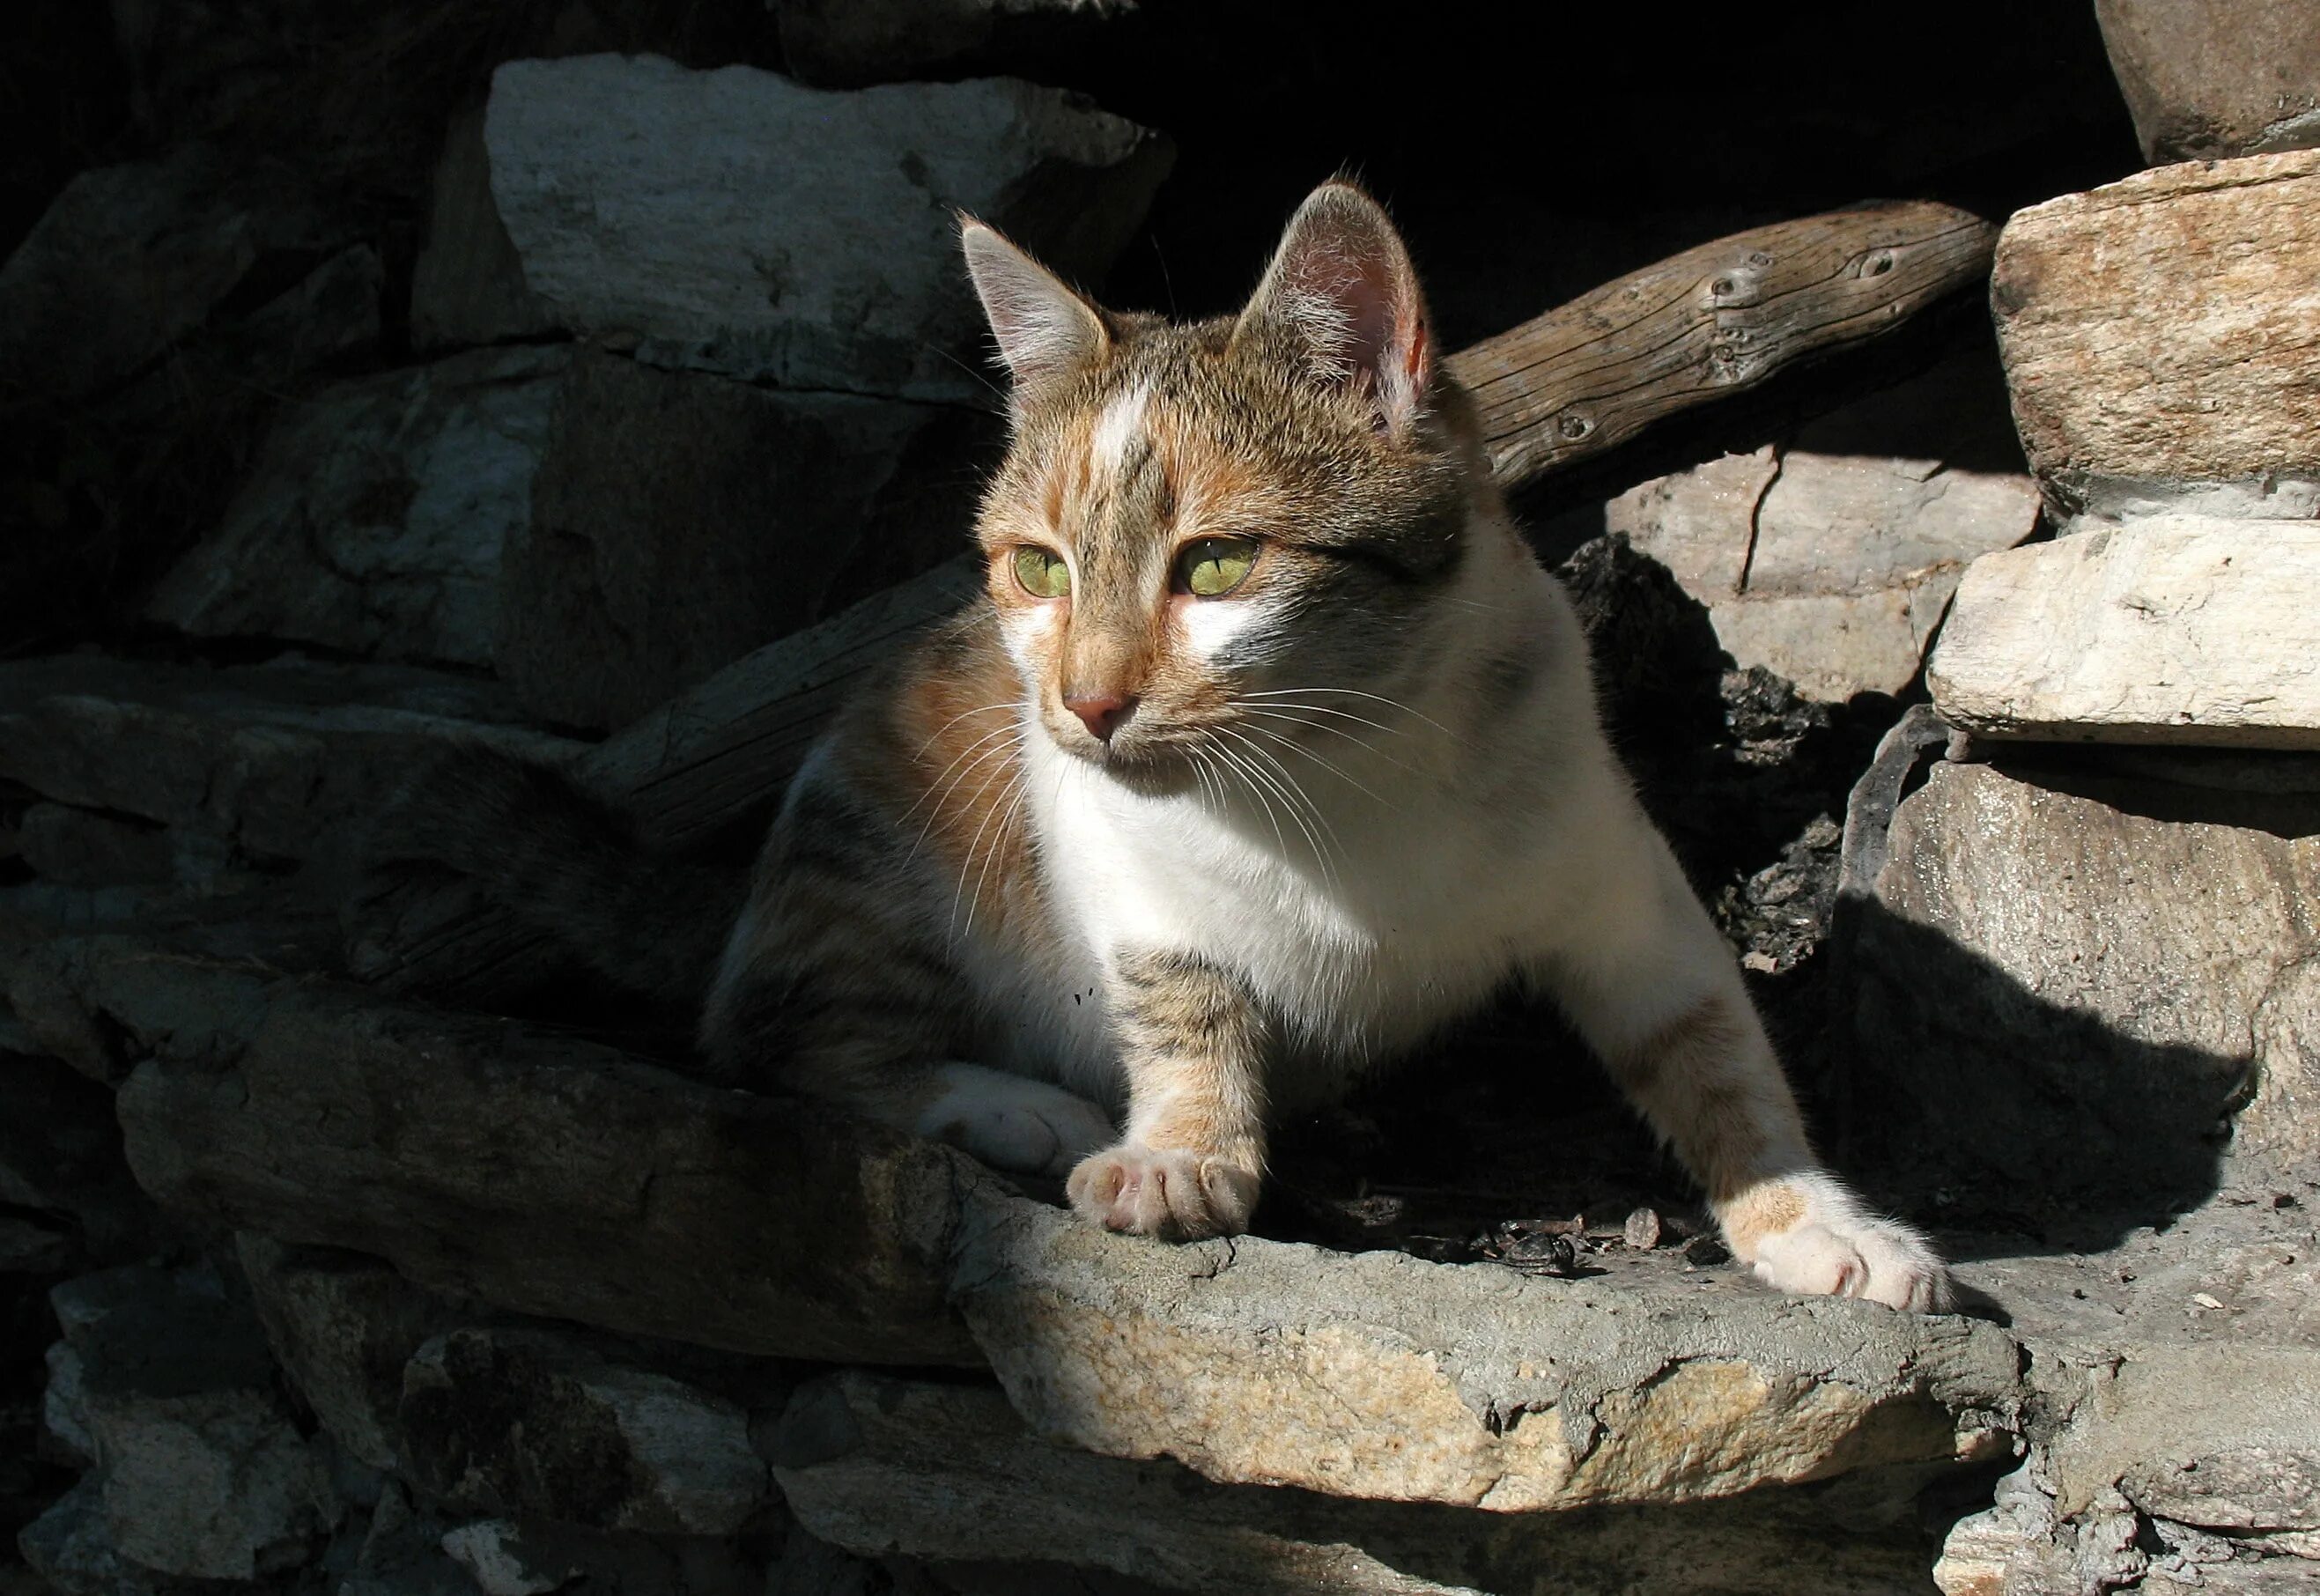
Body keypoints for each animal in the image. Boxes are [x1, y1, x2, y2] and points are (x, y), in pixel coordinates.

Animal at [366, 181, 1958, 1317]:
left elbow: (1713, 1049)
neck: (1345, 776)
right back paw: (1014, 1103)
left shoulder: (1613, 878)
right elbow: (1184, 996)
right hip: (889, 842)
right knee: (771, 1033)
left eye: (1217, 566)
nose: (1082, 702)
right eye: (1038, 569)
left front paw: (1812, 1216)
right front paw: (1185, 1151)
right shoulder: (1122, 866)